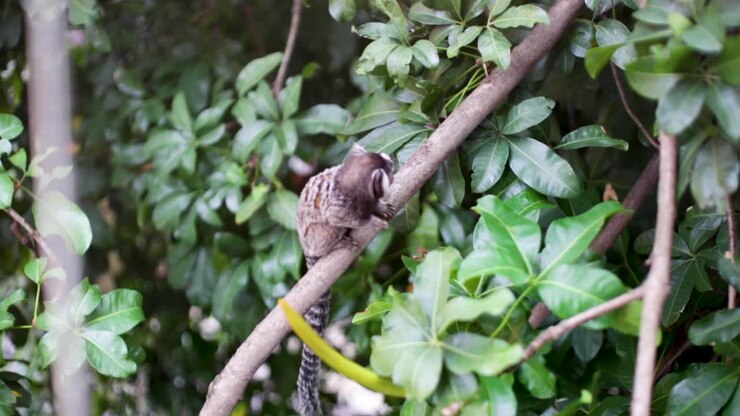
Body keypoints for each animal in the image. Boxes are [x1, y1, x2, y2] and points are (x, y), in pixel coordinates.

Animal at [295, 143, 395, 416]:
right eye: (390, 168)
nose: (395, 163)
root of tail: (307, 250)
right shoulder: (341, 206)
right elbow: (337, 217)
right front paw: (372, 218)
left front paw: (380, 208)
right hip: (317, 238)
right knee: (330, 228)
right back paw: (337, 243)